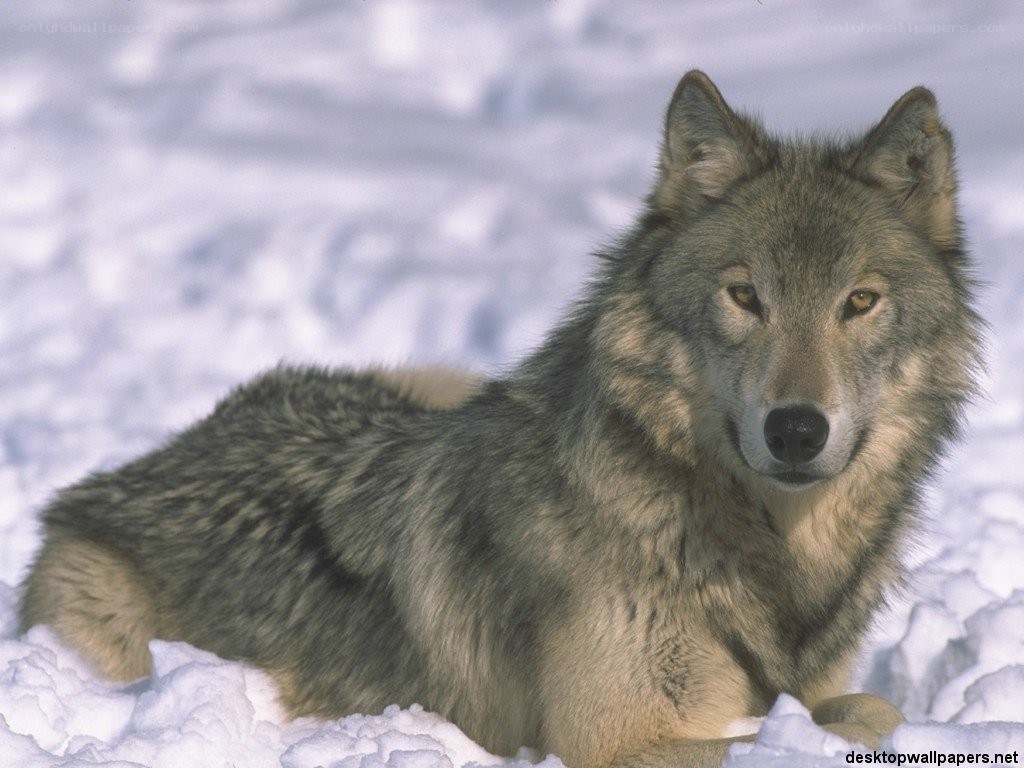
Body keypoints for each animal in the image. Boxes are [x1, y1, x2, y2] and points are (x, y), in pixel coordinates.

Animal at [20, 71, 980, 768]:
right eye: (745, 296)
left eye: (860, 302)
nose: (795, 430)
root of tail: (140, 465)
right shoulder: (617, 742)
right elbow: (854, 719)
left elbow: (857, 702)